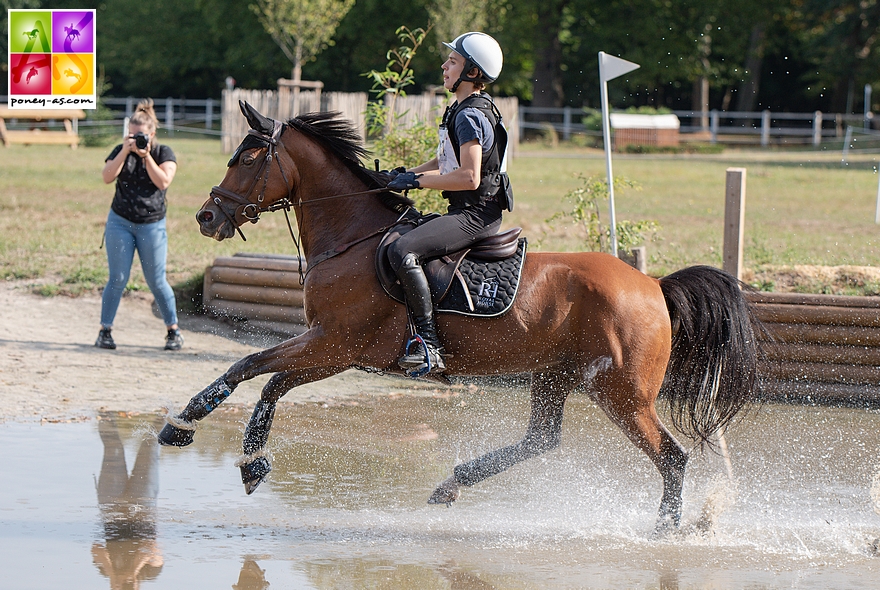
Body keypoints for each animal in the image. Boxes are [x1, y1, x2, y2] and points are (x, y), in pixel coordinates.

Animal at [158, 100, 764, 532]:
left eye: (246, 158)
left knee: (672, 458)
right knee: (542, 441)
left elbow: (251, 366)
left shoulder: (334, 342)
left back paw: (667, 531)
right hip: (556, 376)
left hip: (621, 393)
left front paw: (189, 425)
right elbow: (272, 381)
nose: (206, 216)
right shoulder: (335, 349)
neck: (351, 238)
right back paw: (452, 483)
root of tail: (653, 286)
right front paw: (246, 458)